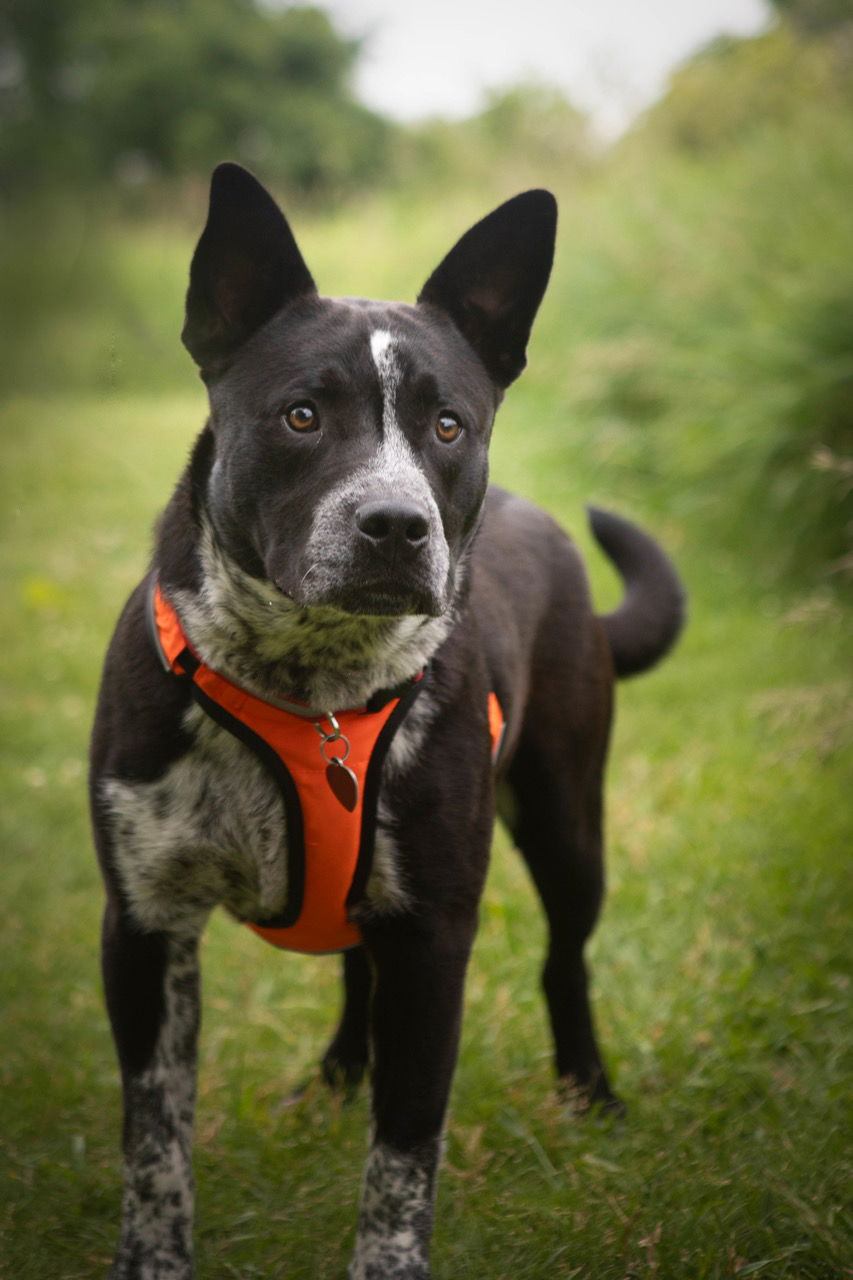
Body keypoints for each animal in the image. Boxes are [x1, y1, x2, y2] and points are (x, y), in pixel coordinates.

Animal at [87, 162, 686, 1280]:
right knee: (356, 972)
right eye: (301, 415)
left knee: (563, 959)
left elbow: (403, 1157)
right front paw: (152, 1255)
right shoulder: (144, 924)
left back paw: (589, 1092)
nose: (397, 526)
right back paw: (332, 1079)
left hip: (565, 820)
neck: (308, 682)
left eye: (448, 425)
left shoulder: (435, 934)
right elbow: (155, 1142)